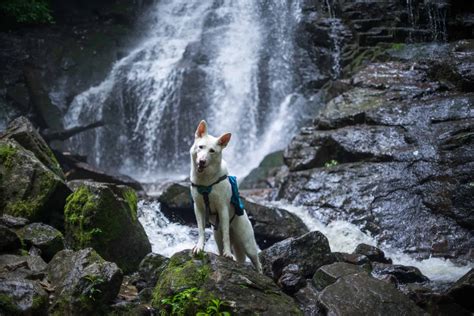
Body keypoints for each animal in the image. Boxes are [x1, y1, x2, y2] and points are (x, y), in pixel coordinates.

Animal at [190, 119, 262, 272]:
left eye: (212, 151)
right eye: (200, 147)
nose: (202, 162)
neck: (206, 181)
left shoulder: (222, 208)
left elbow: (226, 236)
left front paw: (228, 254)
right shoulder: (198, 208)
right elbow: (201, 230)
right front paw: (199, 247)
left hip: (248, 244)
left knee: (258, 263)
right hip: (217, 237)